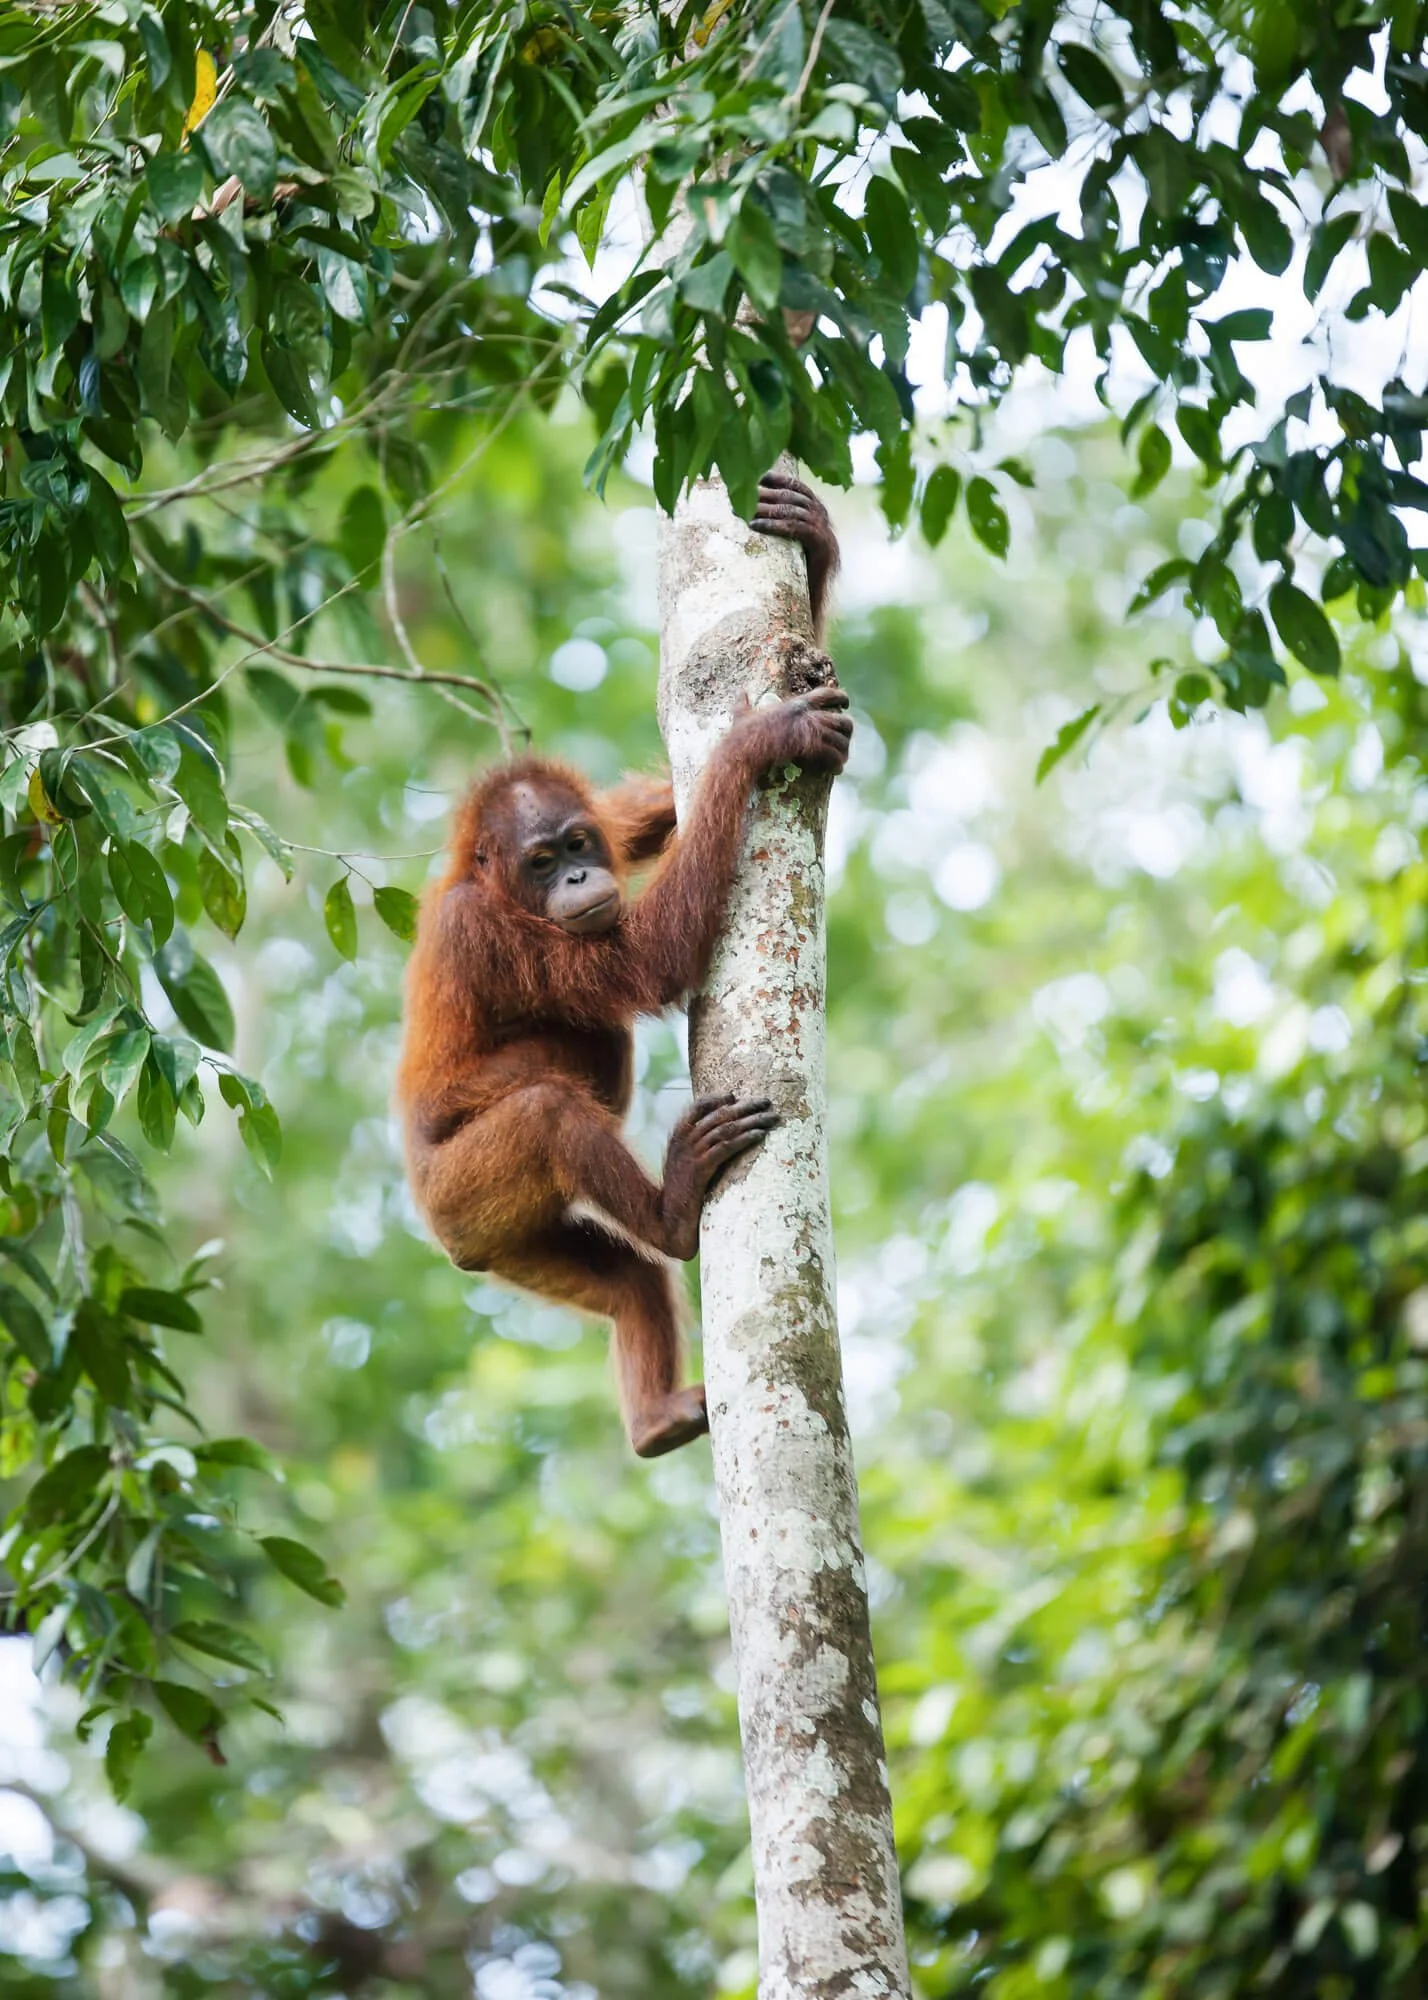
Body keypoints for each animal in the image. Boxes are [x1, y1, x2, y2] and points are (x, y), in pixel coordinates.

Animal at [396, 475, 846, 1456]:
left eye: (574, 843)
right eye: (538, 863)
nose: (574, 877)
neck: (490, 887)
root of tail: (447, 1242)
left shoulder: (607, 817)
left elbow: (655, 814)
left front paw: (815, 542)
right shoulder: (492, 936)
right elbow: (647, 964)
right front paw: (763, 739)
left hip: (512, 1245)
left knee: (625, 1278)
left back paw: (657, 1421)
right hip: (464, 1192)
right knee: (549, 1113)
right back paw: (675, 1213)